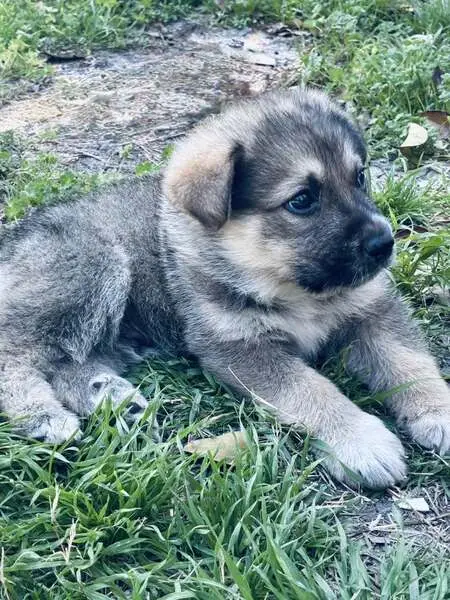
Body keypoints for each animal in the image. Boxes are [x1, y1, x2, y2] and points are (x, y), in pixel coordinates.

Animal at [0, 88, 449, 488]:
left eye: (360, 177)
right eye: (302, 200)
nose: (384, 244)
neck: (290, 286)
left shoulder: (375, 311)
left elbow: (410, 363)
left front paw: (438, 412)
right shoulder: (241, 347)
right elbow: (312, 389)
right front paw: (361, 440)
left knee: (67, 364)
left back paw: (112, 397)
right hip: (93, 269)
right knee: (15, 355)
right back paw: (43, 417)